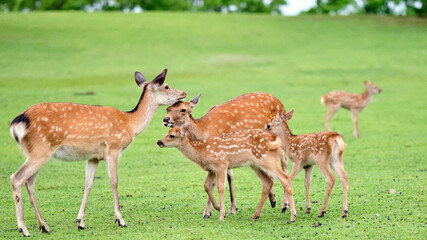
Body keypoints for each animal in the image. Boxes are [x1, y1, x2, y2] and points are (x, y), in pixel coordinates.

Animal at [8, 69, 186, 236]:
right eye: (166, 86)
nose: (183, 93)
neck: (130, 123)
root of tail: (17, 124)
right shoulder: (113, 148)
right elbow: (114, 181)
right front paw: (120, 220)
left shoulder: (93, 157)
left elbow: (88, 183)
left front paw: (80, 221)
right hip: (40, 149)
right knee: (17, 178)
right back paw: (23, 228)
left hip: (35, 152)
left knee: (29, 183)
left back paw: (44, 226)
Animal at [162, 93, 290, 218]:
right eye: (167, 108)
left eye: (183, 109)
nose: (165, 119)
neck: (202, 131)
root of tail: (279, 102)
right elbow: (229, 177)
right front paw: (231, 209)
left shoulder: (219, 155)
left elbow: (214, 184)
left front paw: (208, 212)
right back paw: (272, 199)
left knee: (284, 163)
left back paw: (285, 205)